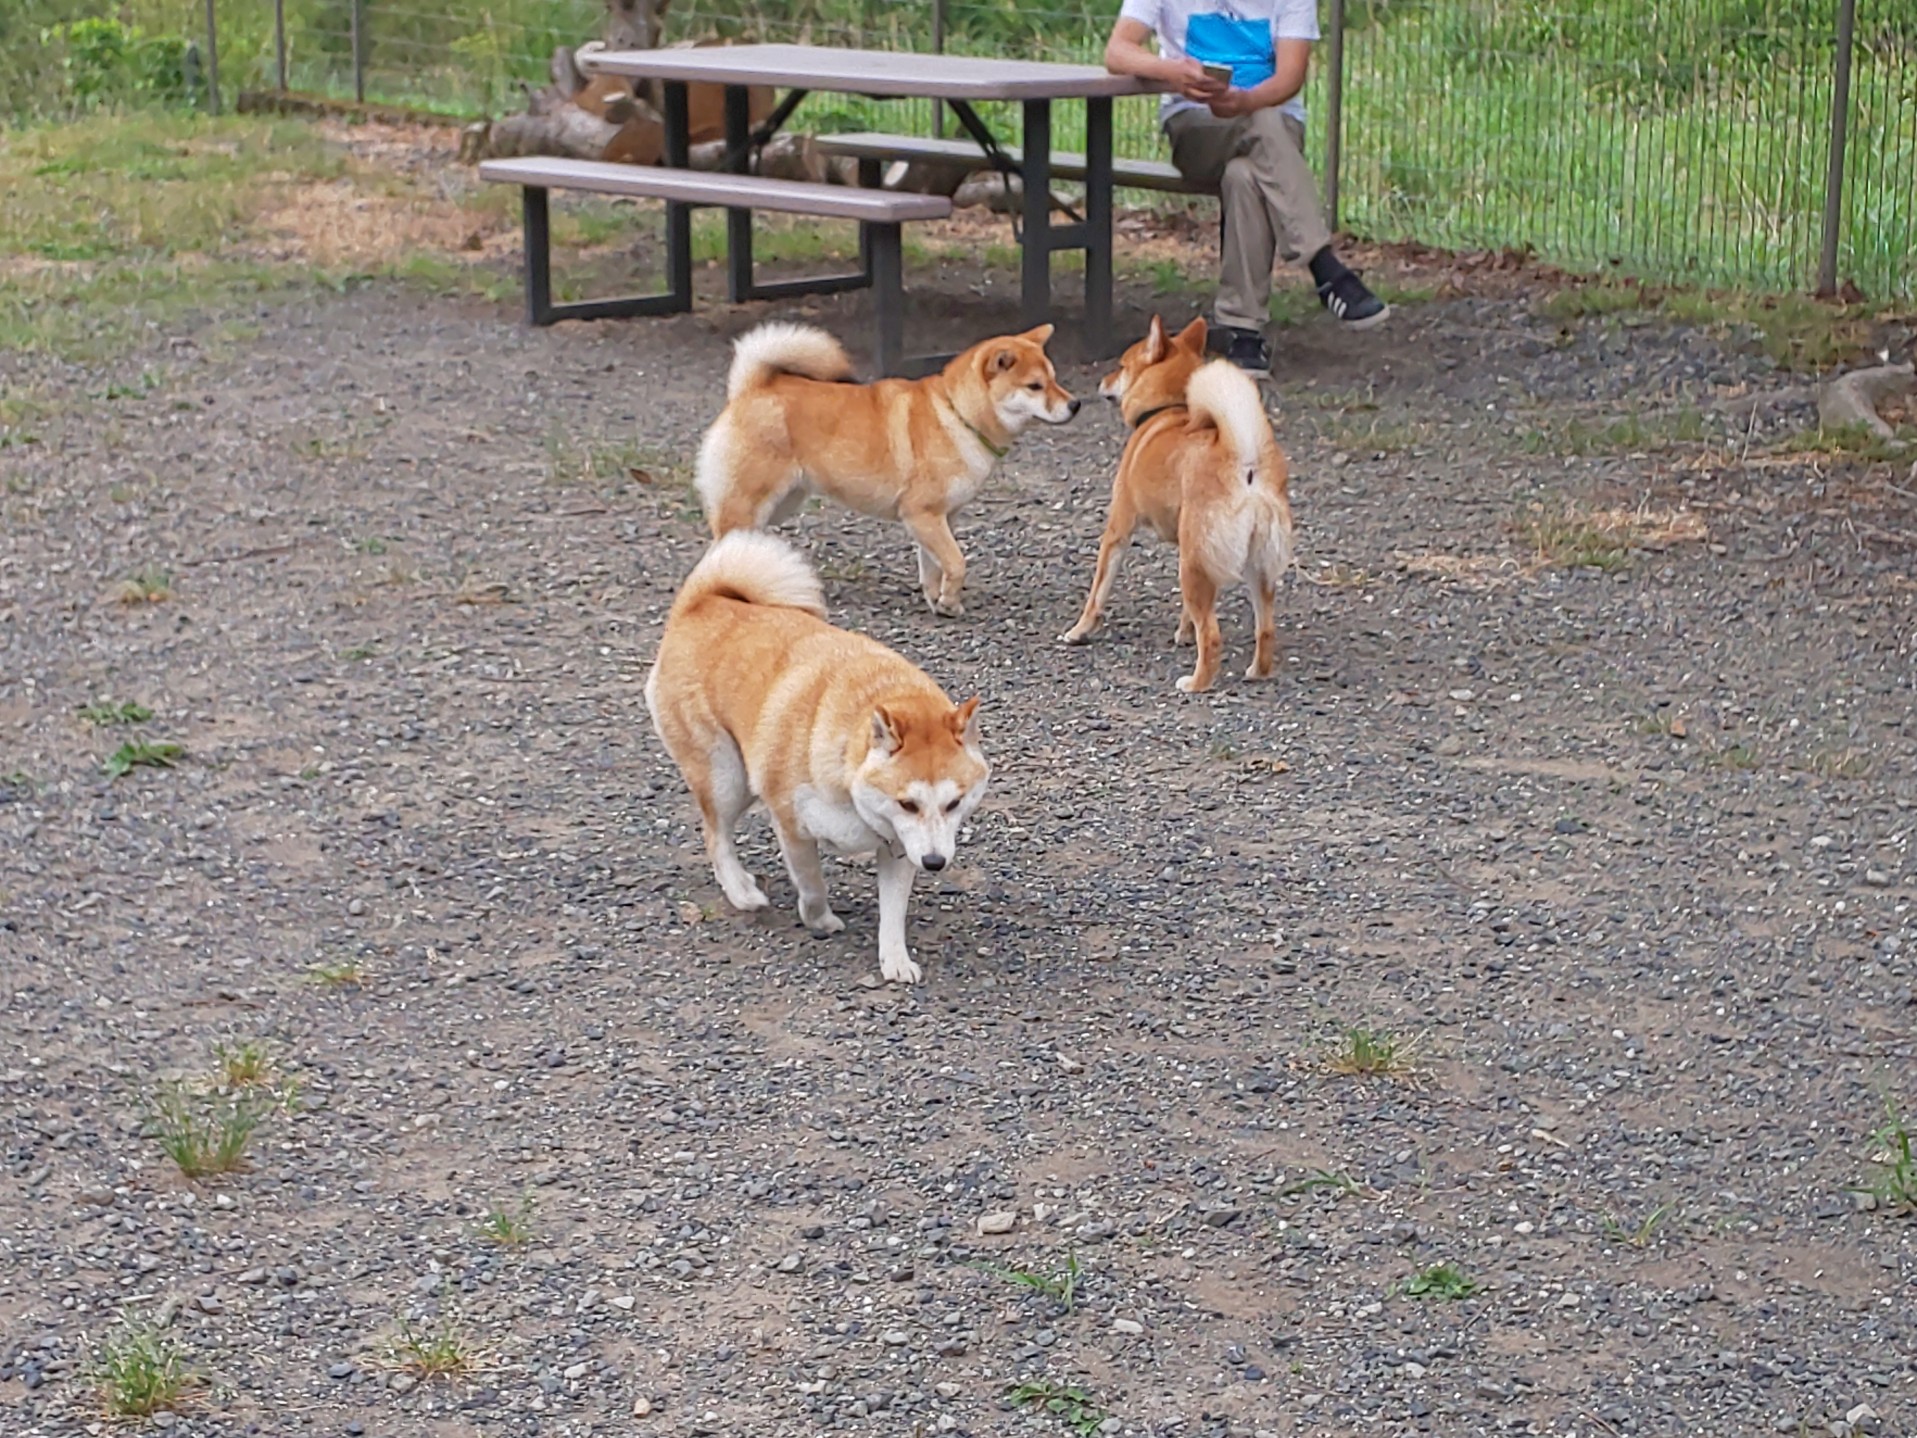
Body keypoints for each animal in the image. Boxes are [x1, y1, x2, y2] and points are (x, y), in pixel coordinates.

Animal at [651, 533, 996, 989]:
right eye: (908, 803)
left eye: (954, 803)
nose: (936, 863)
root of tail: (702, 602)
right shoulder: (793, 827)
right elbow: (813, 885)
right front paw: (820, 920)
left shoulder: (900, 848)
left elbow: (893, 913)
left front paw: (895, 959)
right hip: (729, 779)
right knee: (715, 834)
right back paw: (742, 891)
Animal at [693, 324, 1088, 617]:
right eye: (1035, 386)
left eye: (1055, 379)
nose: (1076, 404)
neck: (956, 415)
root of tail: (751, 387)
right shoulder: (922, 514)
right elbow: (957, 562)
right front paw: (949, 600)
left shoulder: (938, 518)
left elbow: (933, 566)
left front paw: (939, 602)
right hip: (749, 503)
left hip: (781, 504)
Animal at [1058, 316, 1295, 697]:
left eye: (1121, 365)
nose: (1101, 381)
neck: (1169, 410)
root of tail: (1244, 462)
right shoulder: (1189, 553)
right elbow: (1188, 614)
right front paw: (1184, 634)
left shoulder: (1118, 530)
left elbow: (1097, 593)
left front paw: (1078, 632)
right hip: (1249, 567)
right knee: (1265, 629)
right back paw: (1257, 671)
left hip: (1198, 563)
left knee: (1212, 636)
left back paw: (1196, 683)